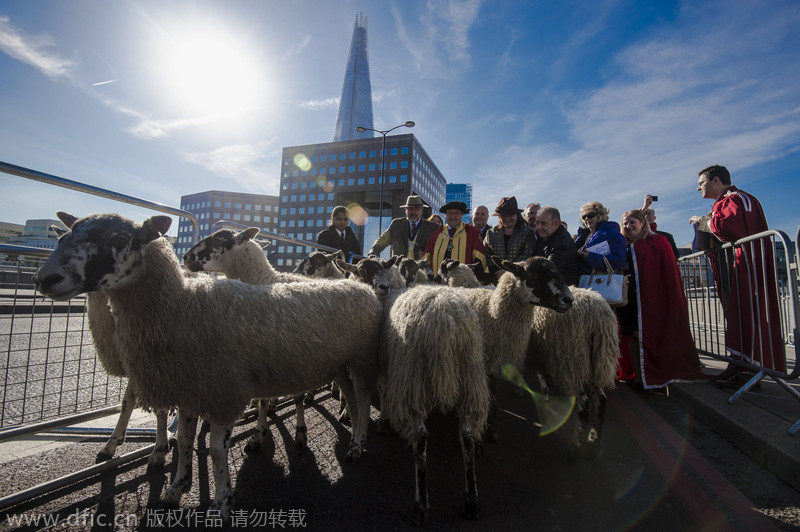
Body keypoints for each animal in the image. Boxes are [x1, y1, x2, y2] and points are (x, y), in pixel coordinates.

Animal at [36, 213, 384, 520]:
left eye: (121, 238)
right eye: (62, 239)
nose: (44, 278)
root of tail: (360, 286)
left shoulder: (227, 387)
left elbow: (218, 447)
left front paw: (222, 499)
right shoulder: (190, 383)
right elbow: (182, 438)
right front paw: (173, 487)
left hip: (360, 359)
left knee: (363, 397)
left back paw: (354, 444)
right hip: (339, 363)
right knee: (352, 398)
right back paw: (352, 428)